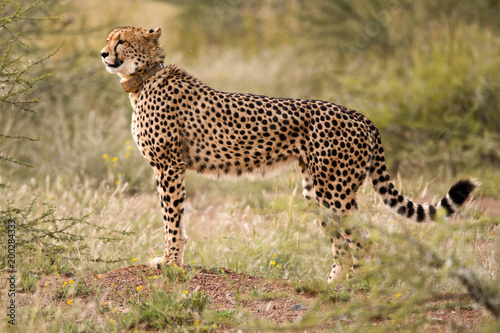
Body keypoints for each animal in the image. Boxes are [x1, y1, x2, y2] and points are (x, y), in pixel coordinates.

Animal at [99, 26, 478, 280]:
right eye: (107, 39)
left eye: (122, 41)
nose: (103, 54)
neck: (144, 78)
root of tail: (362, 116)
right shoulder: (171, 167)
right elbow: (173, 219)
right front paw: (171, 261)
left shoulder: (169, 167)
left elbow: (172, 219)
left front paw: (169, 262)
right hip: (317, 191)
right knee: (342, 243)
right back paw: (333, 286)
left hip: (336, 191)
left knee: (364, 240)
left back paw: (361, 287)